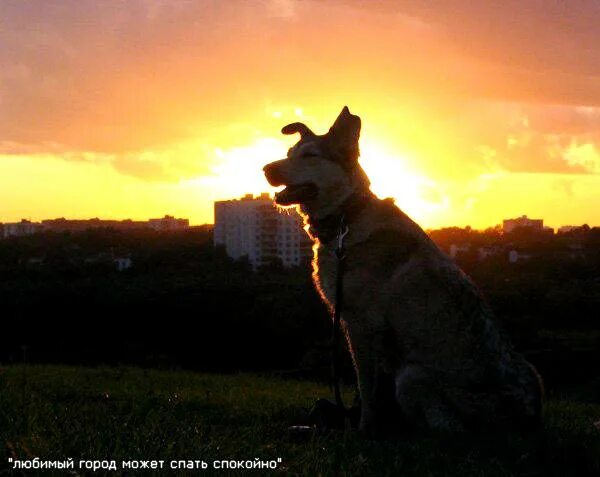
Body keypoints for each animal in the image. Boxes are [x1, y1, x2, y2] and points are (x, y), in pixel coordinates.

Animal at [264, 106, 544, 434]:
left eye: (309, 156)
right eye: (289, 153)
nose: (266, 169)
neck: (348, 217)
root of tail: (531, 420)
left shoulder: (361, 323)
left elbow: (366, 387)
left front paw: (363, 429)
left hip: (411, 376)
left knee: (448, 430)